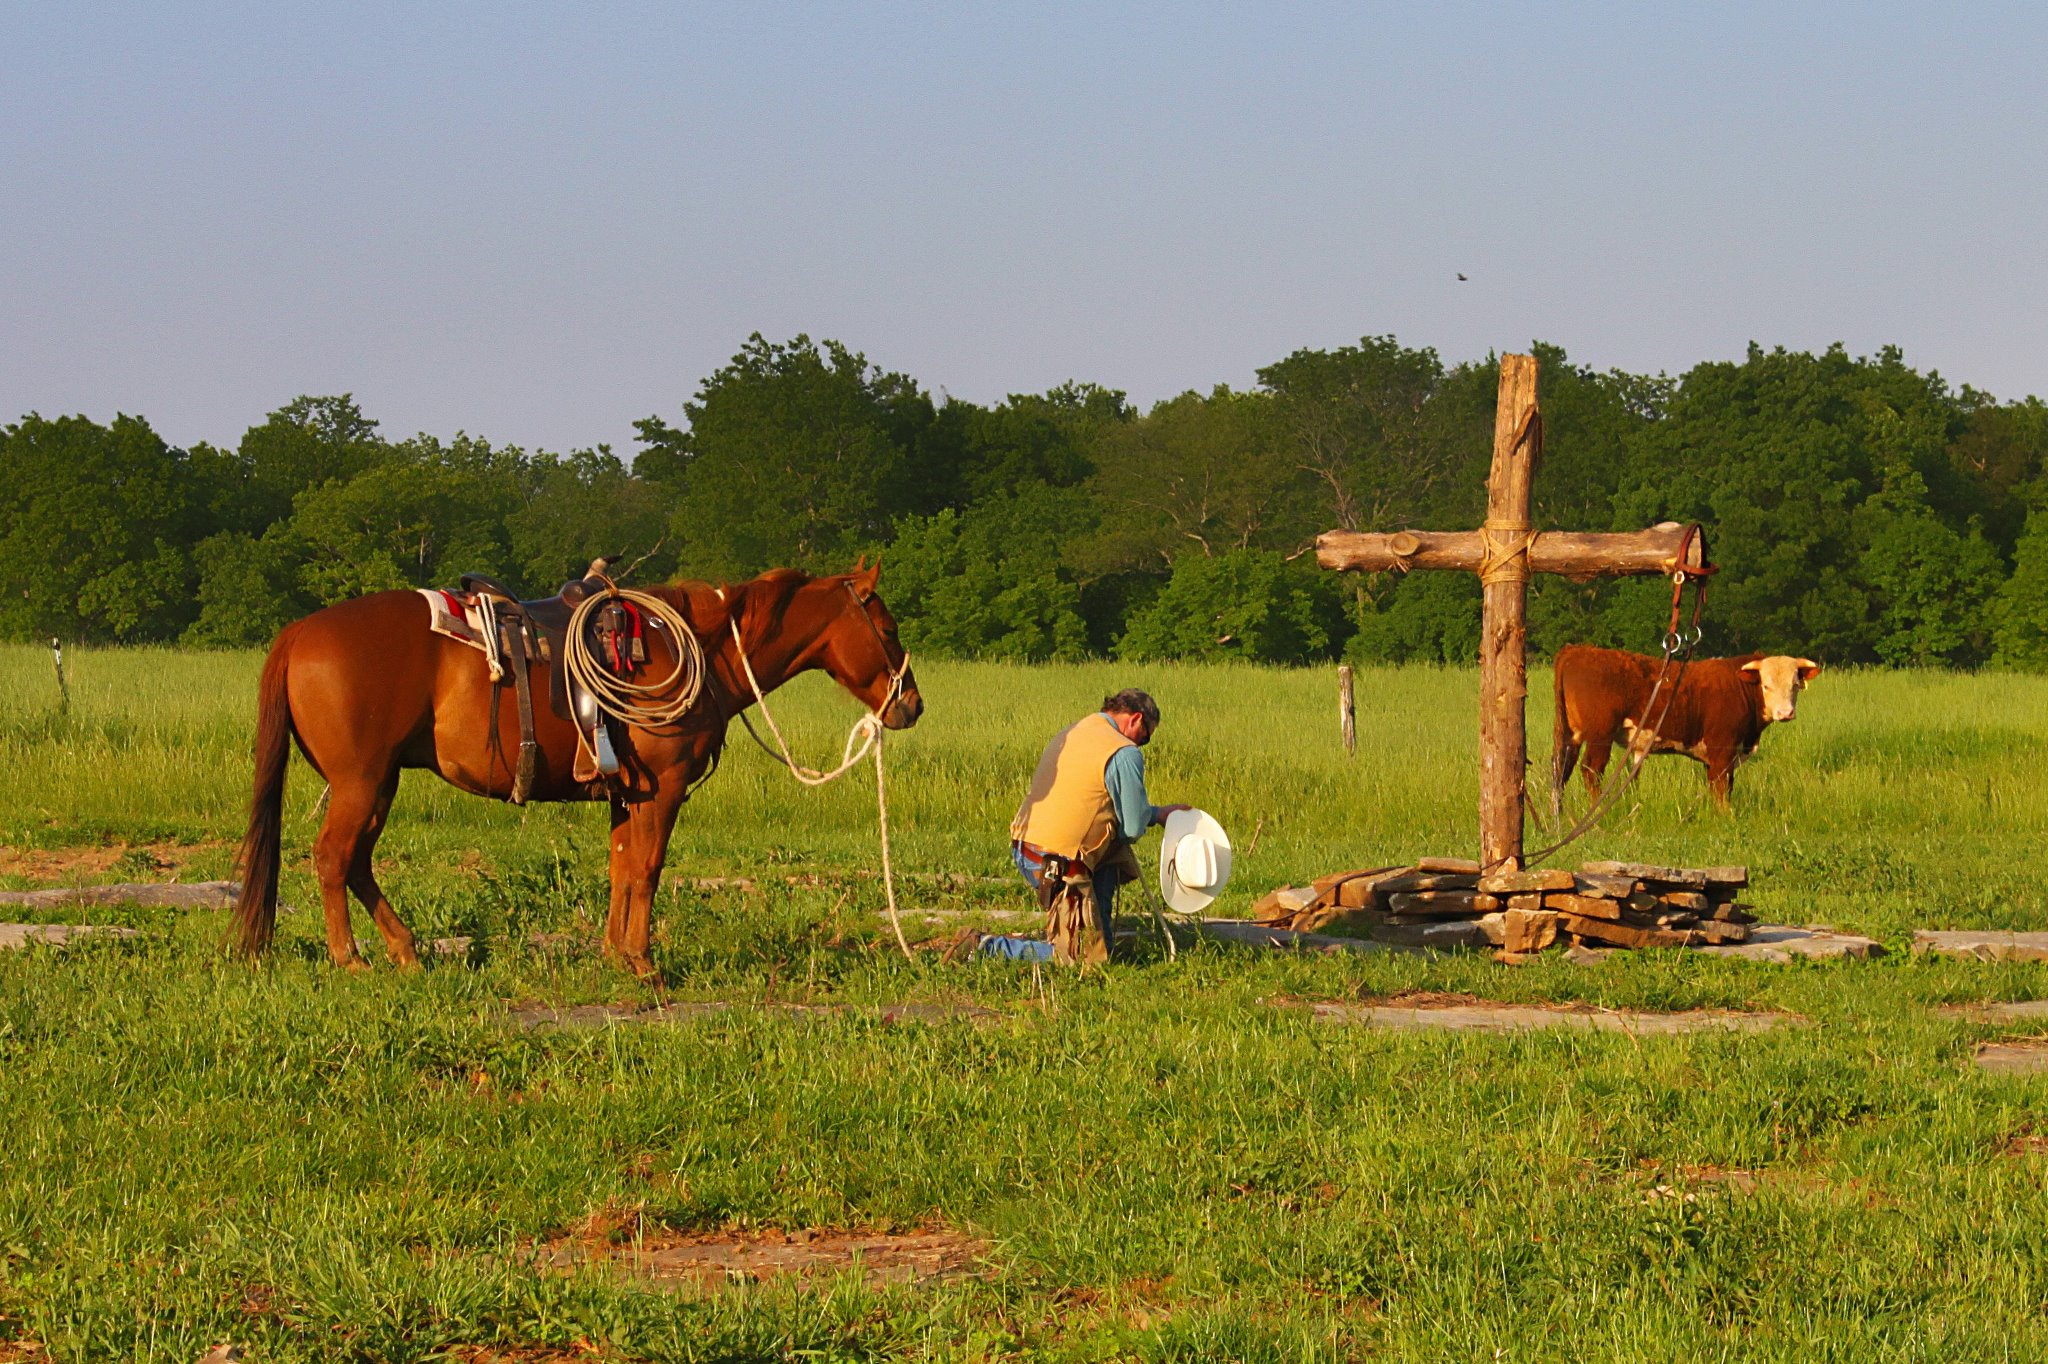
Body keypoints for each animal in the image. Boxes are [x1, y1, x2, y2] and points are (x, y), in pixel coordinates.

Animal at [230, 557, 921, 970]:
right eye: (887, 630)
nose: (911, 704)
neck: (701, 645)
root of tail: (298, 632)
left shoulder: (626, 792)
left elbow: (620, 868)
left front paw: (616, 953)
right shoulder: (665, 789)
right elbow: (648, 868)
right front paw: (643, 963)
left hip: (380, 781)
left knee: (357, 862)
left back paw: (405, 950)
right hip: (361, 780)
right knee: (332, 858)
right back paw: (351, 958)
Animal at [1548, 647, 1826, 806]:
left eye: (1795, 684)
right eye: (1765, 685)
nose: (1785, 713)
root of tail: (1576, 650)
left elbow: (1721, 784)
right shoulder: (1722, 747)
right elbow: (1721, 785)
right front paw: (1725, 816)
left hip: (1571, 734)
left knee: (1562, 769)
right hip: (1600, 735)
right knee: (1591, 770)